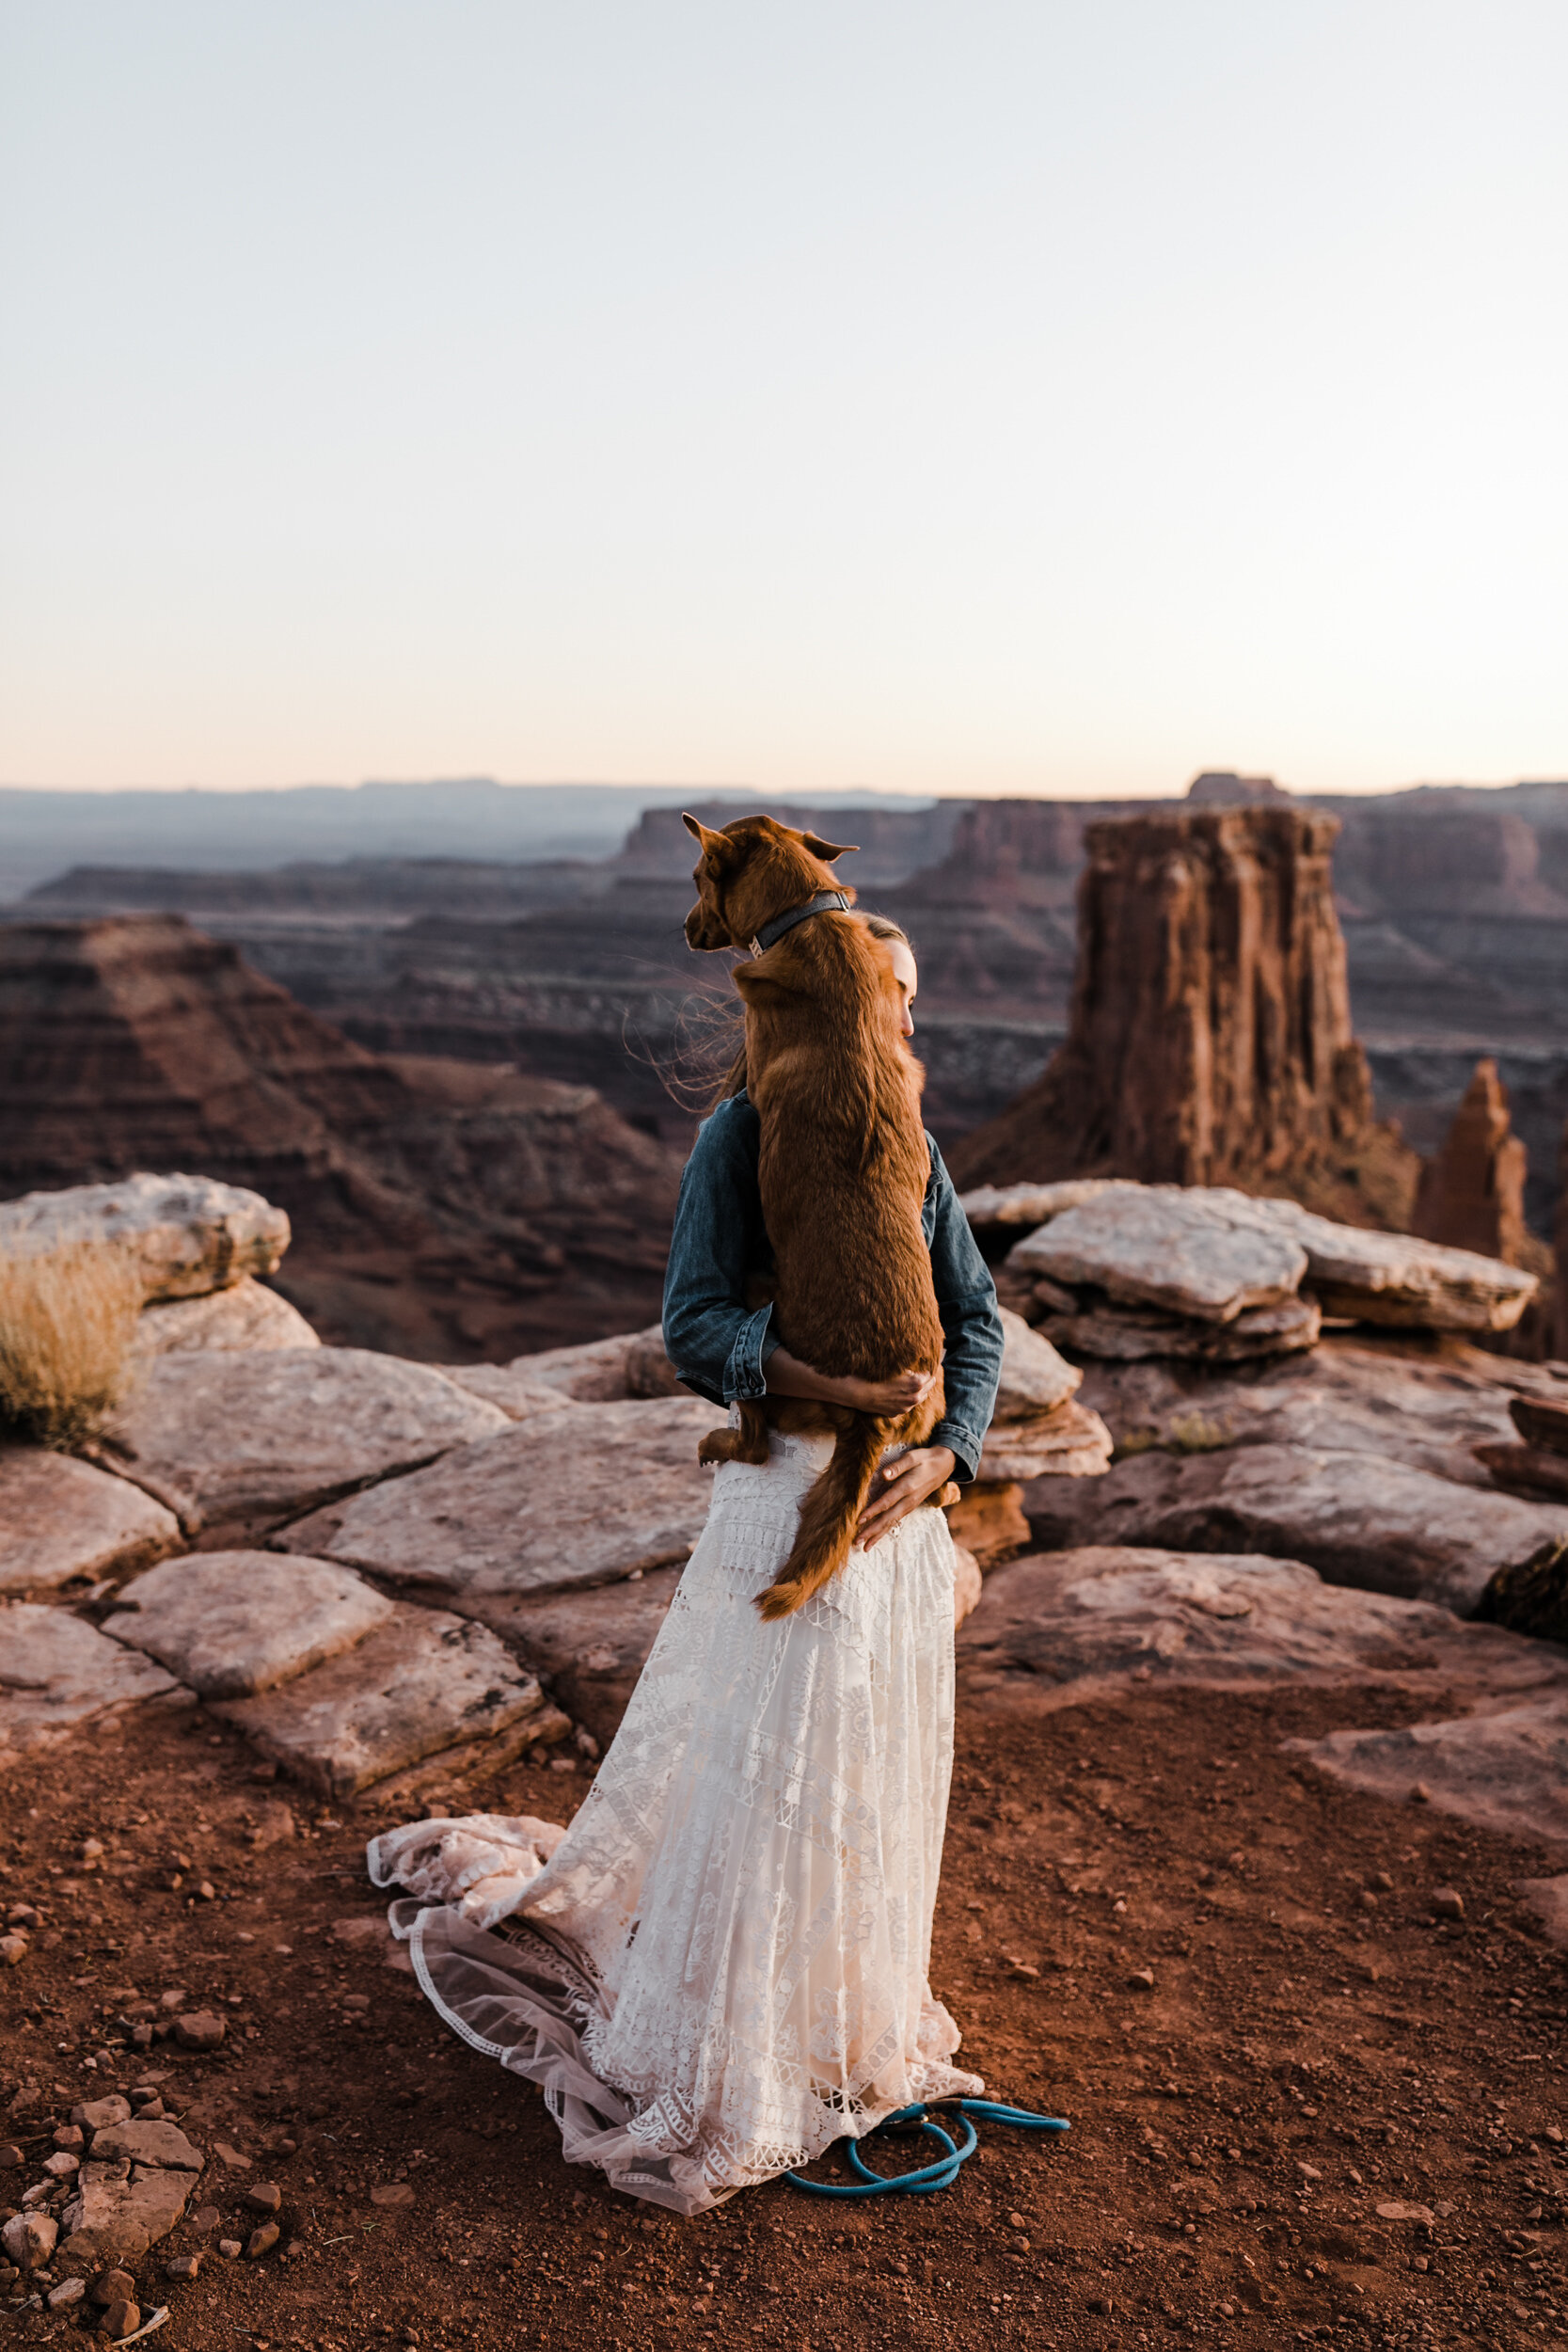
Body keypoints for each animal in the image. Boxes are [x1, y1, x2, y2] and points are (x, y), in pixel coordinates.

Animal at [681, 814, 944, 1618]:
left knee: (753, 1434)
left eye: (697, 877)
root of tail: (872, 1418)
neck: (810, 918)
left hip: (760, 1309)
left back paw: (720, 1445)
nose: (684, 927)